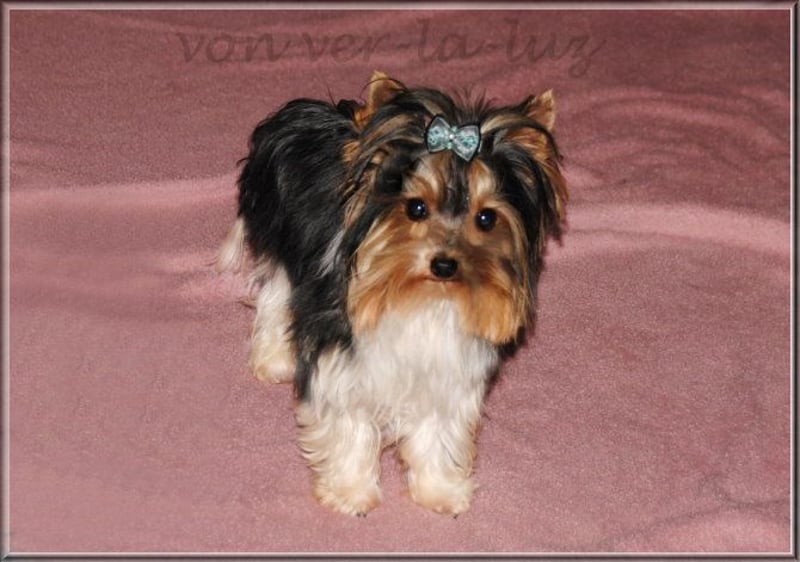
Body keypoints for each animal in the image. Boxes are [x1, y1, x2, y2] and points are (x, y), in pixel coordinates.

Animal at [218, 71, 567, 517]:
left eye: (487, 218)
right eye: (416, 208)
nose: (444, 264)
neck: (422, 298)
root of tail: (300, 114)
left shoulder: (447, 370)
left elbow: (437, 431)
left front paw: (440, 491)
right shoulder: (343, 361)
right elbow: (349, 424)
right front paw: (350, 493)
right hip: (279, 240)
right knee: (276, 296)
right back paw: (274, 359)